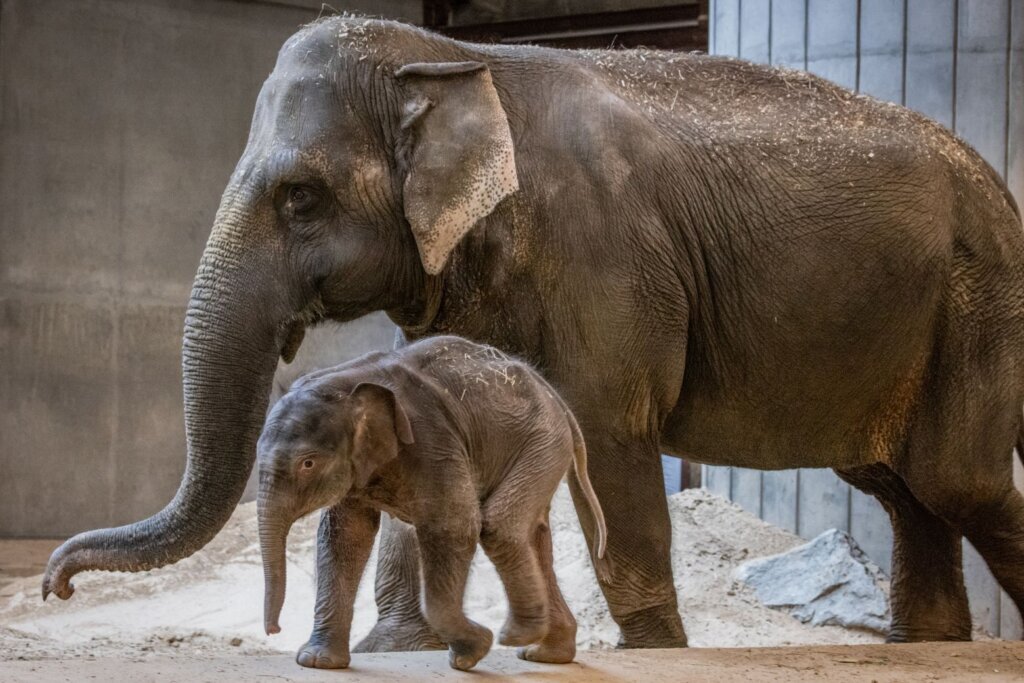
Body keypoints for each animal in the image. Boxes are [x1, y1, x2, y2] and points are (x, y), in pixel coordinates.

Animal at [256, 335, 608, 670]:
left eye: (308, 464)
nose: (274, 630)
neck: (348, 379)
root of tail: (555, 397)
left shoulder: (432, 440)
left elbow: (453, 526)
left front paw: (473, 651)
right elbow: (345, 537)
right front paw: (317, 662)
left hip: (542, 441)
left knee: (500, 527)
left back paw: (516, 637)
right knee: (534, 536)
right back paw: (544, 653)